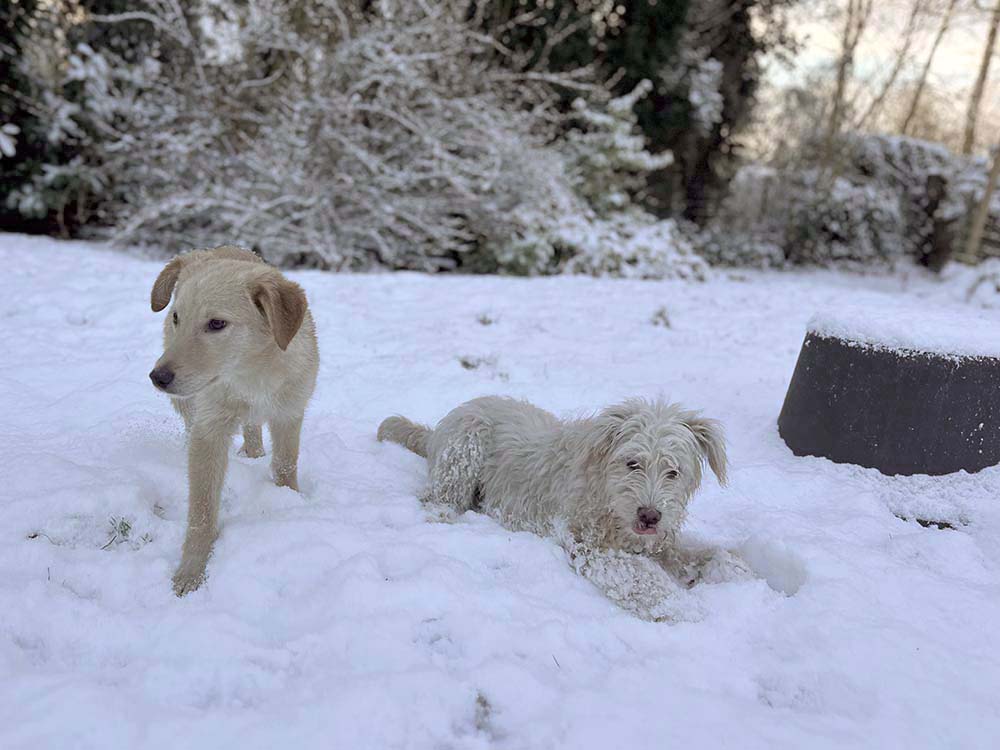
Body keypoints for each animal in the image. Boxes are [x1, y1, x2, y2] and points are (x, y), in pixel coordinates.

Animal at [149, 245, 319, 595]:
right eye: (176, 317)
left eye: (216, 323)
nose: (157, 377)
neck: (250, 375)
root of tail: (205, 250)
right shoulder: (208, 430)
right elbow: (201, 511)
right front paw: (191, 572)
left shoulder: (289, 413)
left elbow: (285, 466)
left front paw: (290, 501)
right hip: (188, 405)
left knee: (253, 428)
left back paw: (254, 453)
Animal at [378, 396, 741, 619]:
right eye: (632, 463)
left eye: (673, 471)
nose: (650, 516)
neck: (606, 498)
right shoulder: (587, 544)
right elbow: (639, 577)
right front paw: (684, 609)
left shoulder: (655, 541)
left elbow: (697, 555)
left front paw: (732, 570)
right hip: (465, 447)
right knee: (437, 498)